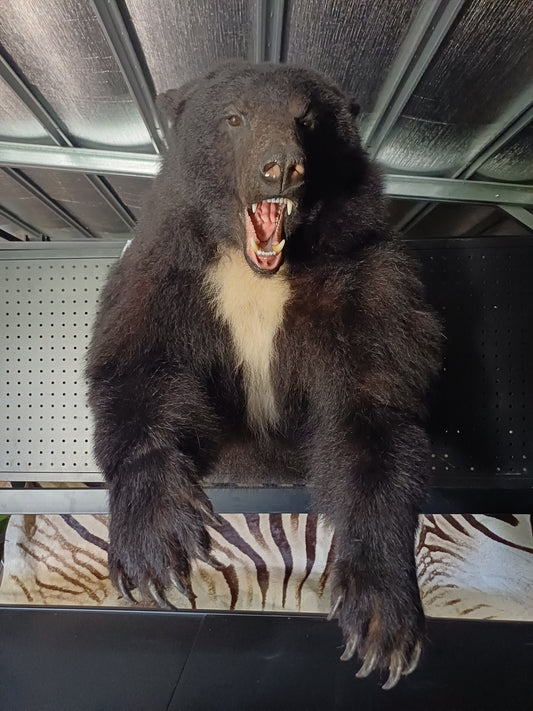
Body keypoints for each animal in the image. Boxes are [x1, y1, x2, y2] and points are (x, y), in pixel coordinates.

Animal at [86, 61, 442, 690]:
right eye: (235, 119)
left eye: (307, 120)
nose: (281, 165)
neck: (258, 270)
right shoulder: (166, 267)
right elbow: (138, 362)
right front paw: (156, 546)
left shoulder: (365, 280)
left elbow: (373, 406)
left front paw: (382, 620)